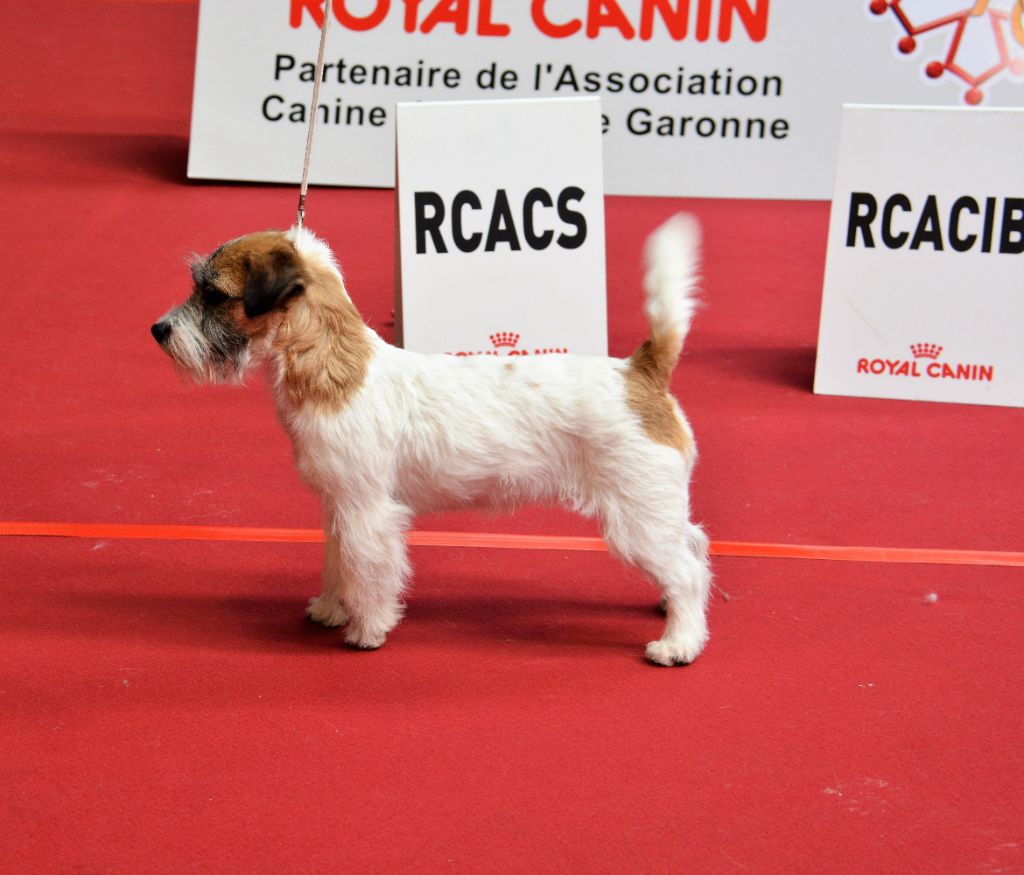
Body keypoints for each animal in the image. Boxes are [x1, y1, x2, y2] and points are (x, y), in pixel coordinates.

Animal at [151, 214, 711, 665]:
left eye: (214, 294)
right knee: (694, 545)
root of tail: (640, 372)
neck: (330, 365)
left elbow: (367, 569)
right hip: (654, 509)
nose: (159, 330)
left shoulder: (368, 511)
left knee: (686, 572)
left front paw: (367, 630)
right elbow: (337, 561)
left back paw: (678, 643)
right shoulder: (338, 505)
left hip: (636, 517)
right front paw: (331, 608)